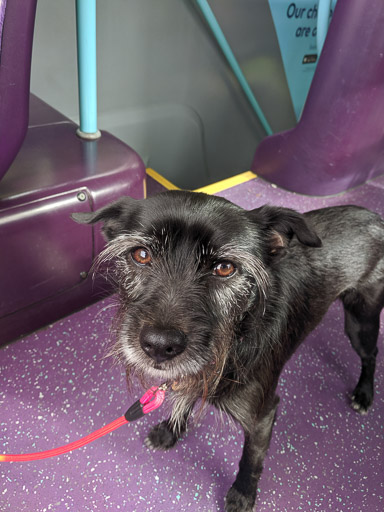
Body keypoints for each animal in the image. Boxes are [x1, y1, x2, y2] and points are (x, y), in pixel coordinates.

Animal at [73, 192, 384, 512]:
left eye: (224, 268)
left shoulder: (262, 417)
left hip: (361, 321)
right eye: (141, 255)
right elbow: (183, 400)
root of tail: (375, 218)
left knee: (371, 354)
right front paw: (171, 430)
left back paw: (364, 393)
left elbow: (250, 460)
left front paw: (242, 494)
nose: (158, 345)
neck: (235, 338)